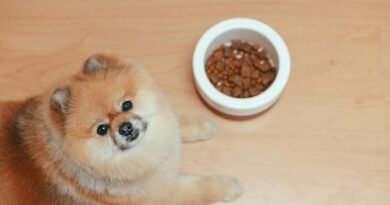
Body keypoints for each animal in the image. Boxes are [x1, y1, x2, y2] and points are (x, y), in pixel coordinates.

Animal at [0, 54, 244, 205]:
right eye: (102, 129)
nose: (125, 127)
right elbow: (198, 187)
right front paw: (229, 185)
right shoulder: (162, 195)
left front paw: (203, 126)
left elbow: (175, 122)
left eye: (126, 105)